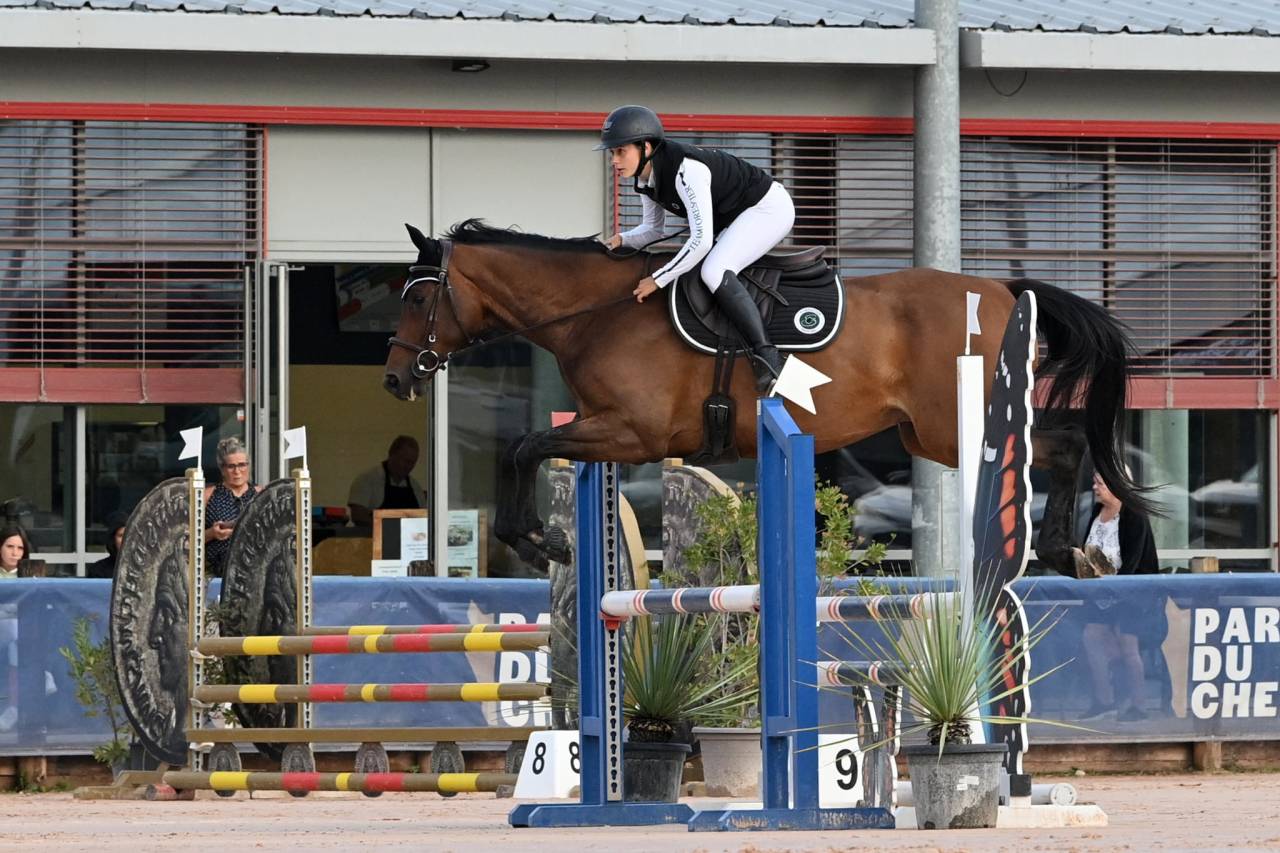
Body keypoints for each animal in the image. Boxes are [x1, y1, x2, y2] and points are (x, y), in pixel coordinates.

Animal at [384, 219, 1153, 574]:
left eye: (419, 298)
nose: (395, 379)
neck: (600, 312)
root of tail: (1003, 290)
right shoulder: (610, 432)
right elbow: (525, 446)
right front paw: (541, 539)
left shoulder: (632, 433)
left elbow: (522, 445)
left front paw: (536, 539)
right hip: (926, 432)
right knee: (1063, 441)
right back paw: (1068, 551)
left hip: (950, 424)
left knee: (1066, 442)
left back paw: (1062, 547)